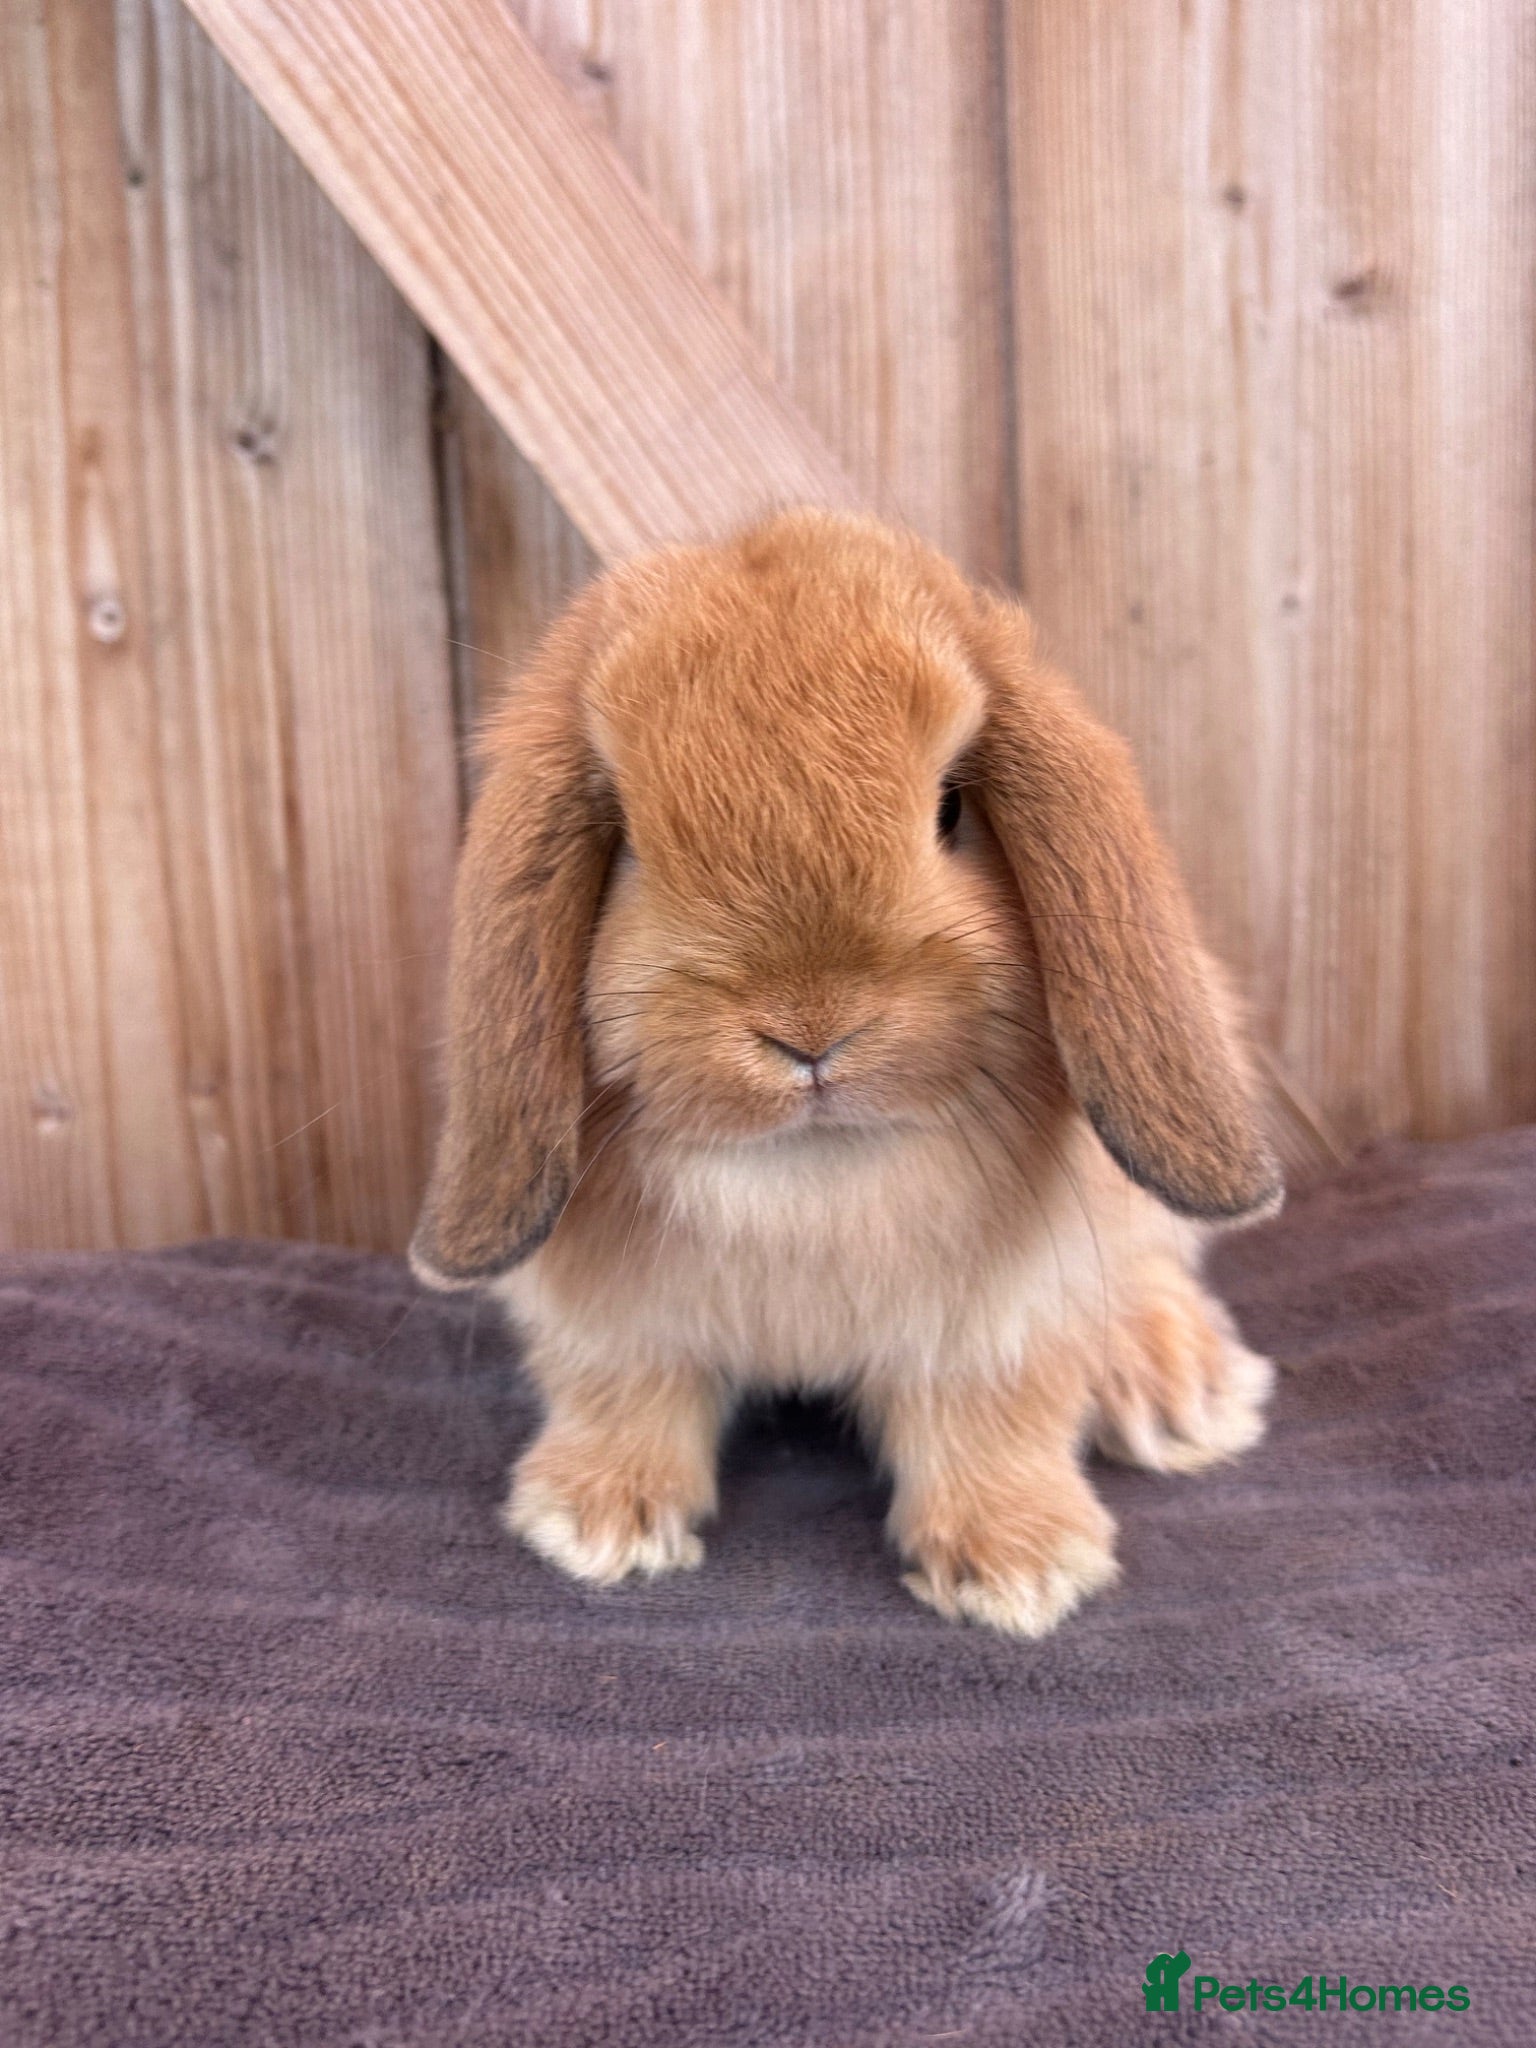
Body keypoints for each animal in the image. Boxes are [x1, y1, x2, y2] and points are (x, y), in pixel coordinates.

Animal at [410, 508, 1281, 1637]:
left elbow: (992, 1422)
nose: (809, 1027)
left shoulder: (999, 1327)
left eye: (951, 808)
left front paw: (1021, 1568)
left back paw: (1175, 1387)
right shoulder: (612, 1326)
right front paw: (596, 1520)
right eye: (631, 842)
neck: (811, 1175)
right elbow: (623, 1397)